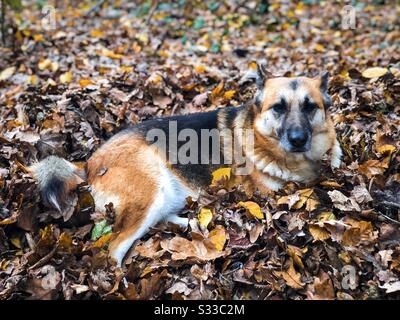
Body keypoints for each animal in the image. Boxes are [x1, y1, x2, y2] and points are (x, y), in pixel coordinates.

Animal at [30, 64, 340, 264]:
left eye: (310, 107)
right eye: (278, 108)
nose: (298, 139)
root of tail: (89, 163)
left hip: (168, 194)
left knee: (159, 221)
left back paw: (192, 223)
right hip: (151, 189)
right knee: (115, 249)